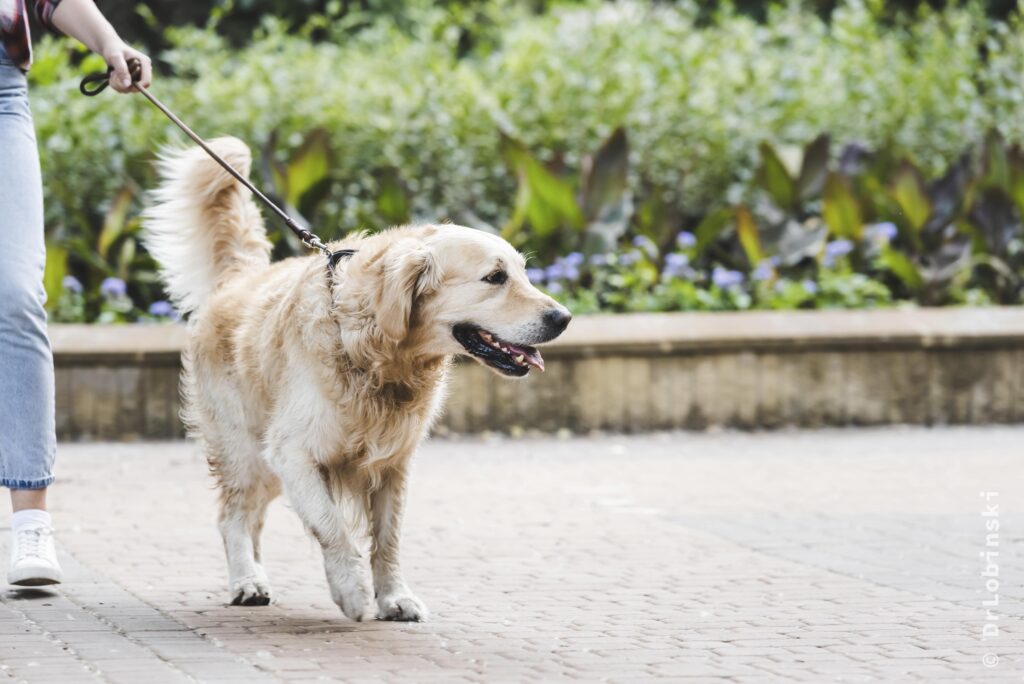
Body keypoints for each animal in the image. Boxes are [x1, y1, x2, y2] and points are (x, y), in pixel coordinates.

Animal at [144, 137, 573, 618]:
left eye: (523, 273)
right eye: (495, 277)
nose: (563, 317)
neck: (373, 350)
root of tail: (239, 279)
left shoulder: (393, 463)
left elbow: (389, 538)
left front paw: (395, 596)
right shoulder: (292, 452)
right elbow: (331, 525)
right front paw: (351, 589)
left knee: (251, 518)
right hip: (248, 452)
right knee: (232, 515)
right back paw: (246, 581)